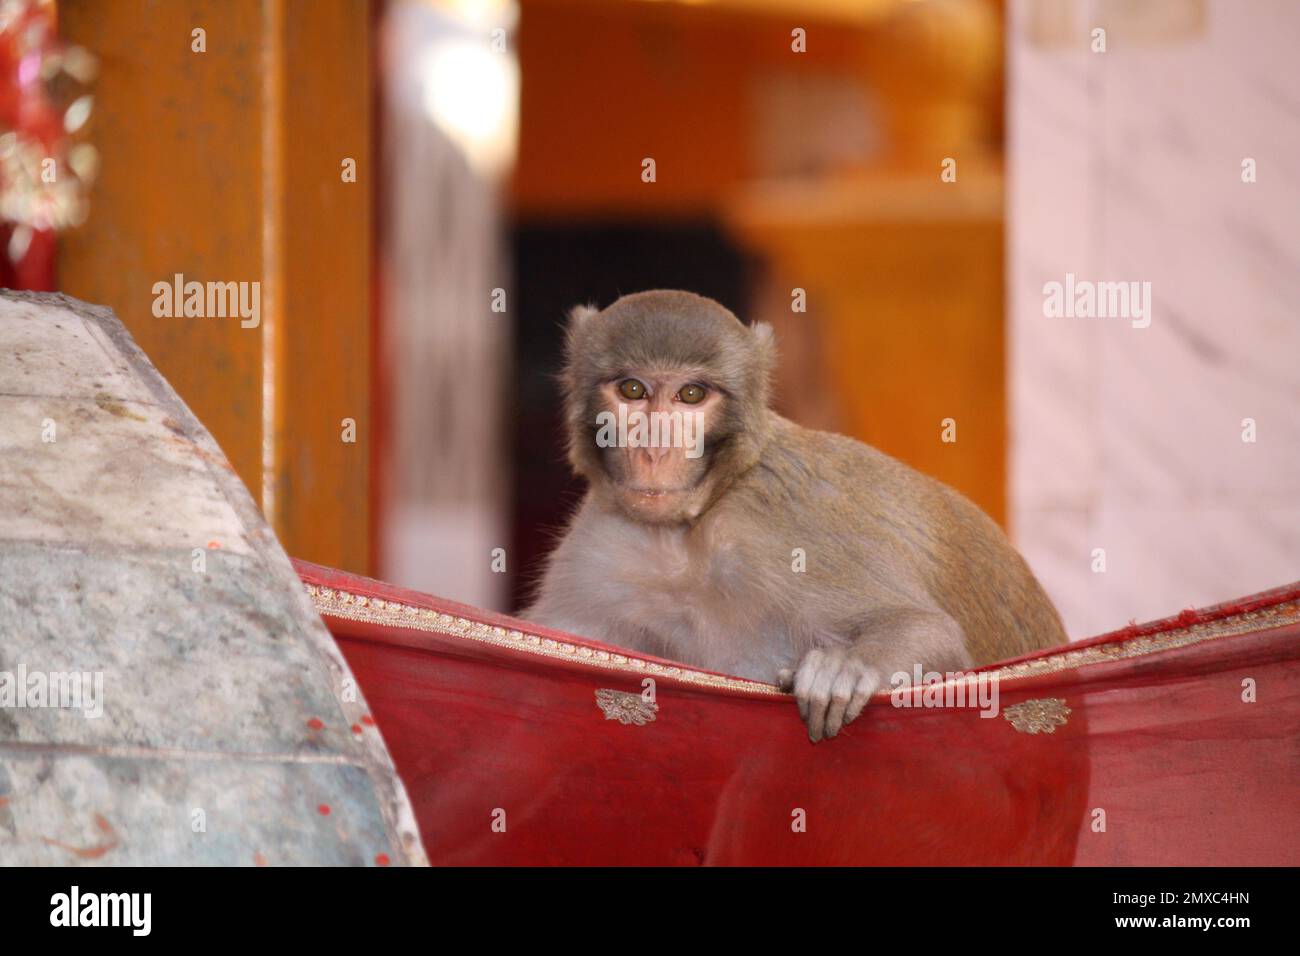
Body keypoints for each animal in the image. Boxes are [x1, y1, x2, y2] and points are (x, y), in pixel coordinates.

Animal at [525, 290, 1067, 742]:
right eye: (633, 390)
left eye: (691, 395)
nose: (655, 449)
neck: (690, 528)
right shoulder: (602, 545)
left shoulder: (780, 524)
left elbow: (930, 630)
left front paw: (848, 668)